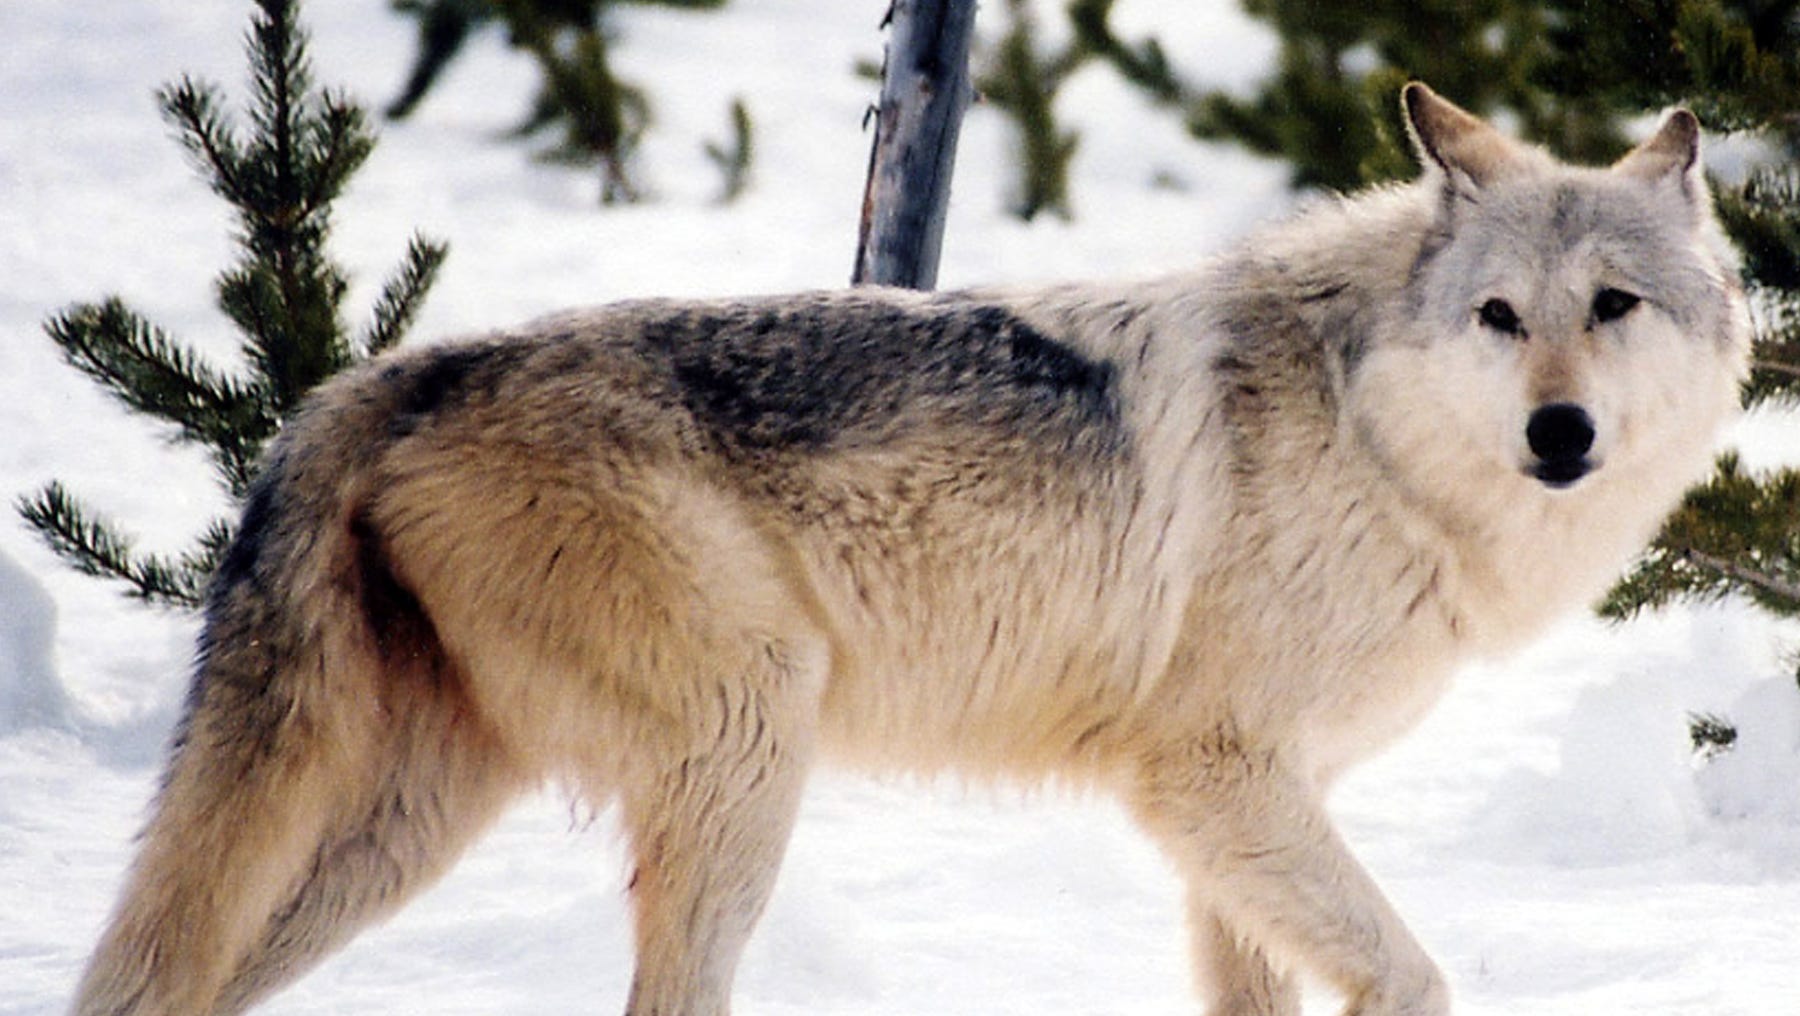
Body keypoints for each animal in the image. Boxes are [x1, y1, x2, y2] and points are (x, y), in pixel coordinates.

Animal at [66, 85, 1742, 1016]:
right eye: (1501, 319)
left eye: (1613, 309)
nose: (1561, 435)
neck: (1370, 433)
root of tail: (378, 379)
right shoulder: (1211, 780)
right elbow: (1412, 973)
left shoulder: (1238, 812)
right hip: (747, 749)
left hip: (406, 828)